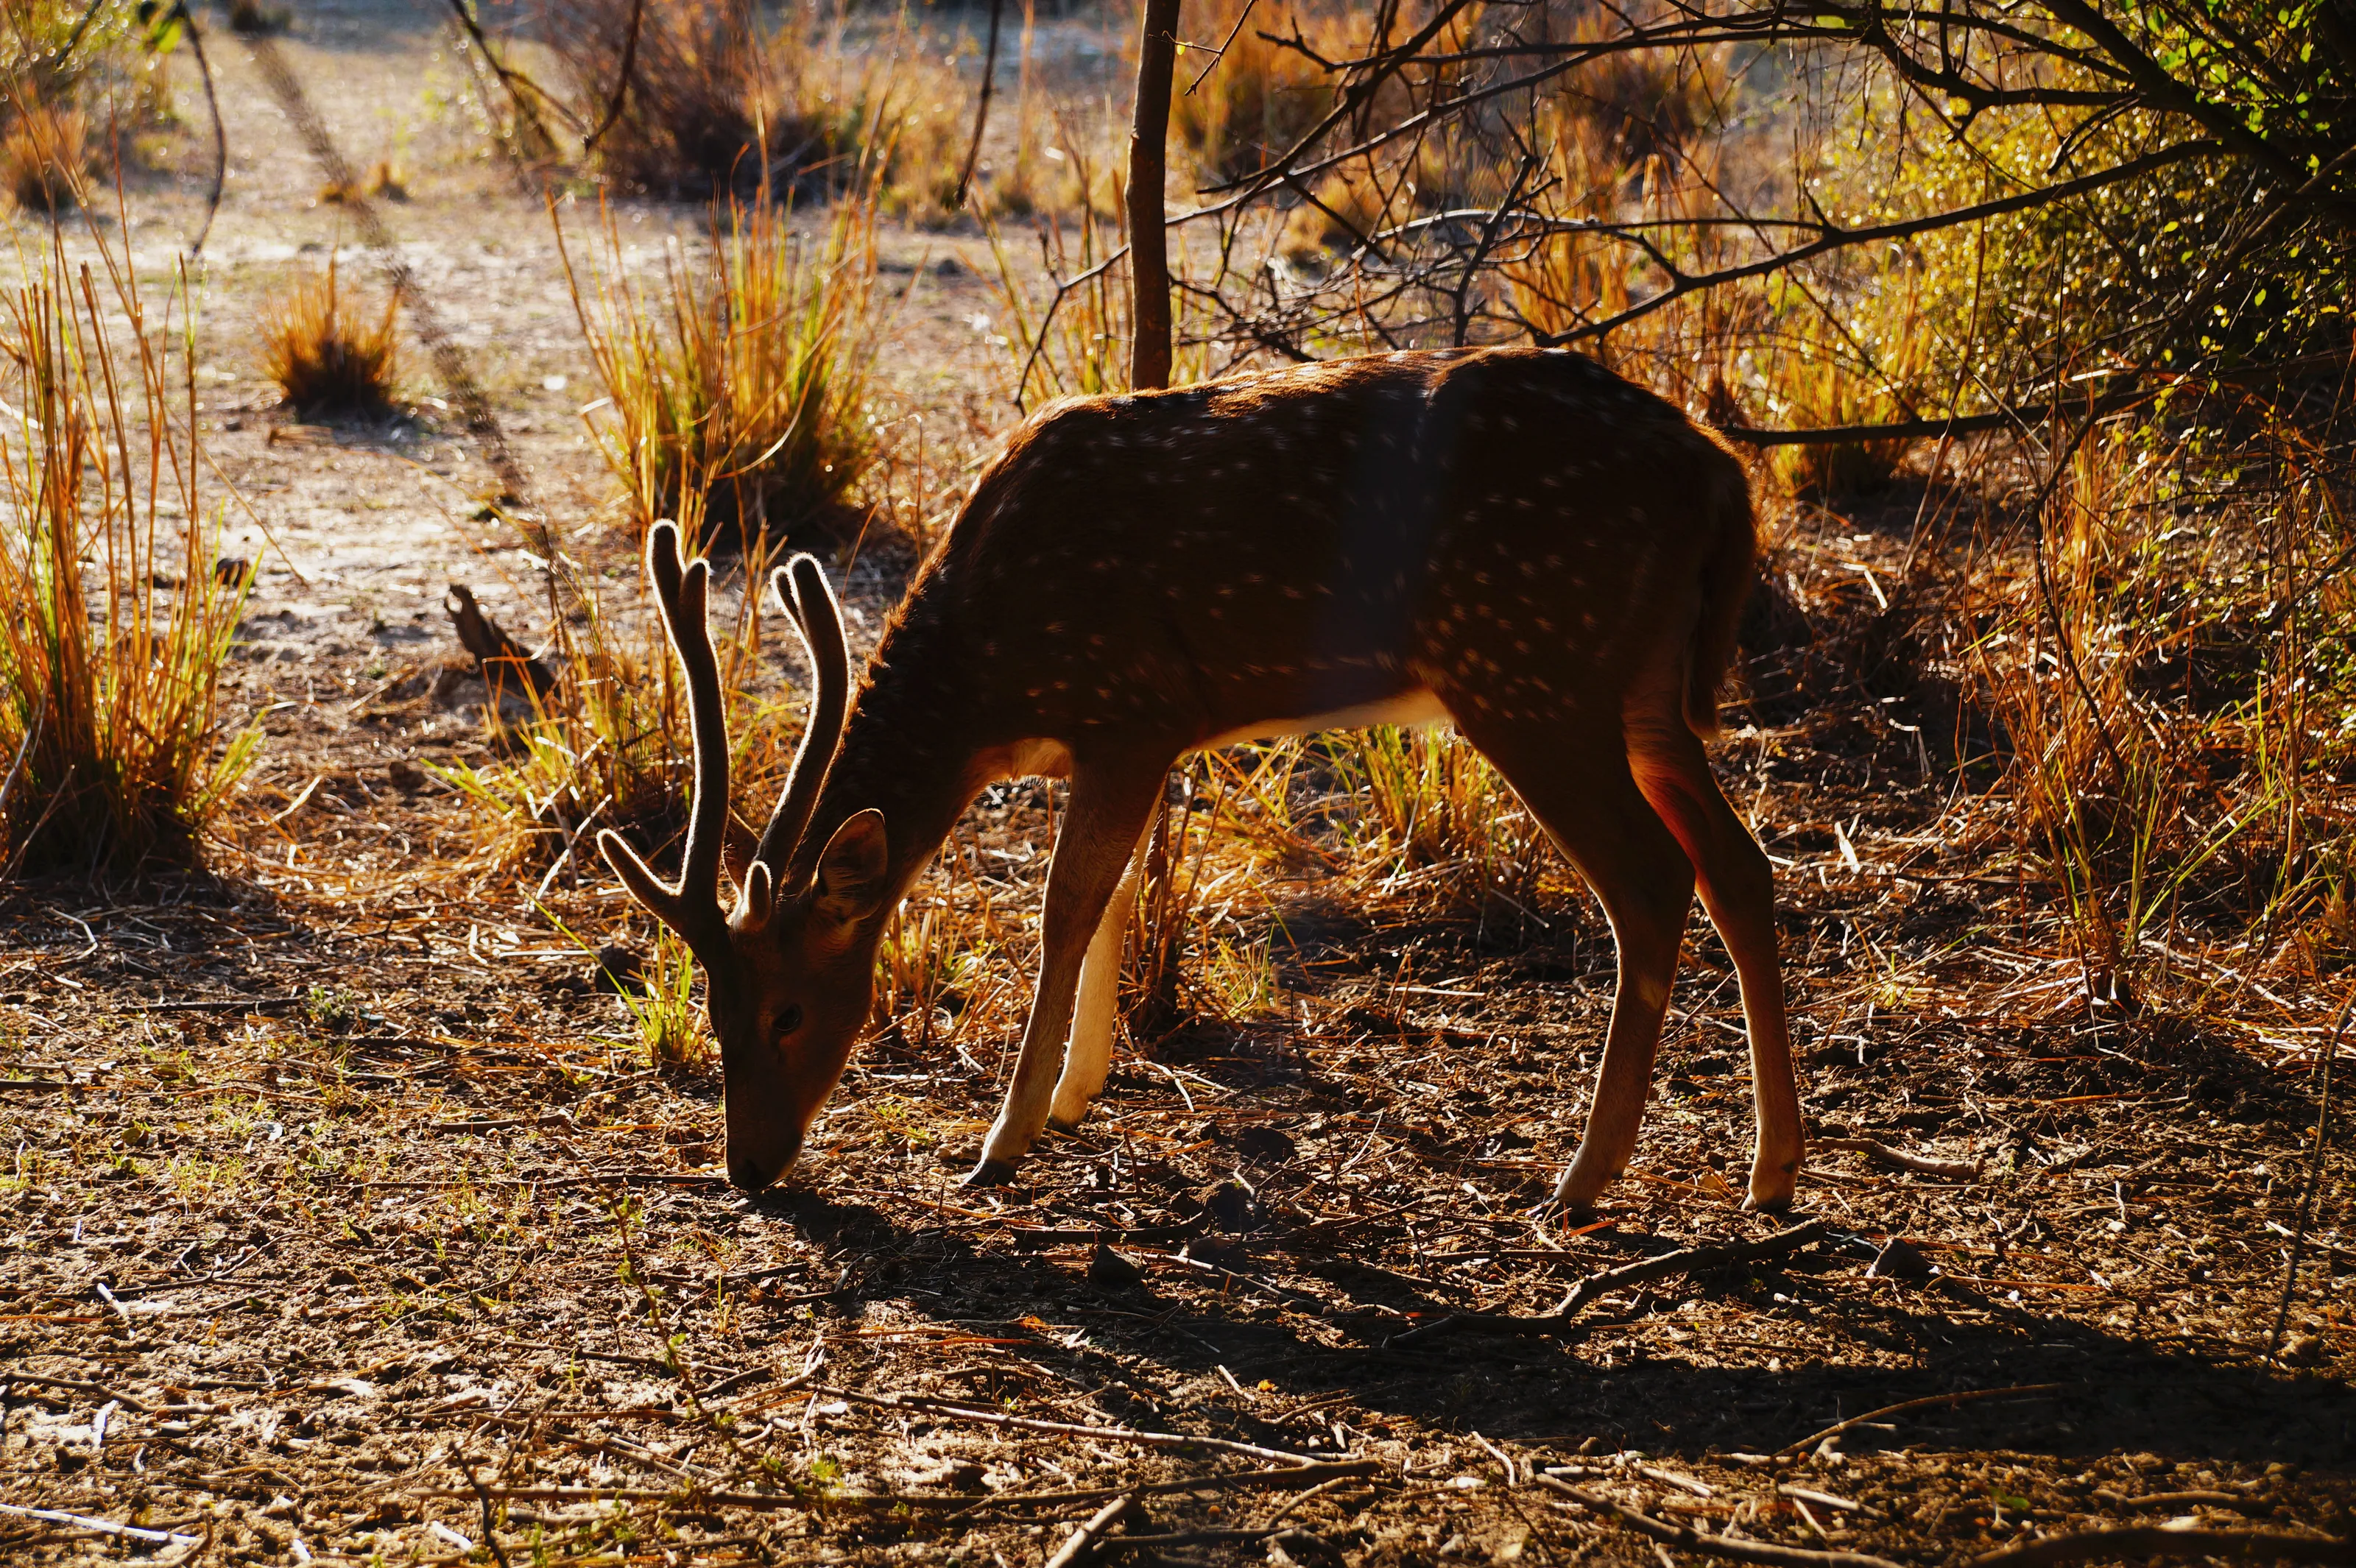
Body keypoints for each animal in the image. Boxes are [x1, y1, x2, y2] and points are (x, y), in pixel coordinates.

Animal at [599, 345, 1804, 1213]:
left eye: (789, 1012)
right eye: (712, 1008)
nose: (747, 1167)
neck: (989, 675)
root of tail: (1720, 471)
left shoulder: (1129, 706)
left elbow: (1065, 905)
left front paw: (1002, 1141)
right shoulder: (1131, 739)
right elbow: (1113, 897)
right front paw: (1074, 1097)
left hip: (1529, 667)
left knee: (1652, 879)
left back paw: (1584, 1180)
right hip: (1639, 687)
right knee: (1740, 867)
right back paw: (1772, 1171)